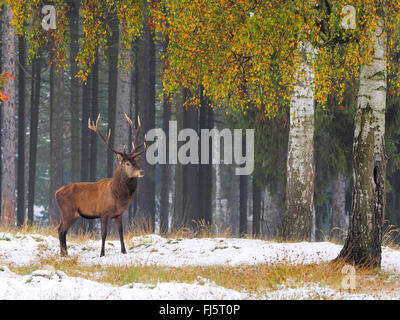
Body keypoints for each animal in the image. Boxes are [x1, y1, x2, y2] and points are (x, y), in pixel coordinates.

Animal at [54, 113, 145, 258]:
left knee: (61, 230)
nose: (141, 172)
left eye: (136, 162)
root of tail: (56, 192)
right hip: (68, 211)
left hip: (70, 214)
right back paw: (64, 254)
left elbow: (121, 233)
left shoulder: (118, 214)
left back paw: (64, 254)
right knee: (61, 230)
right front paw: (102, 254)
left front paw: (124, 251)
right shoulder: (103, 213)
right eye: (127, 163)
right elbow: (103, 234)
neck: (118, 195)